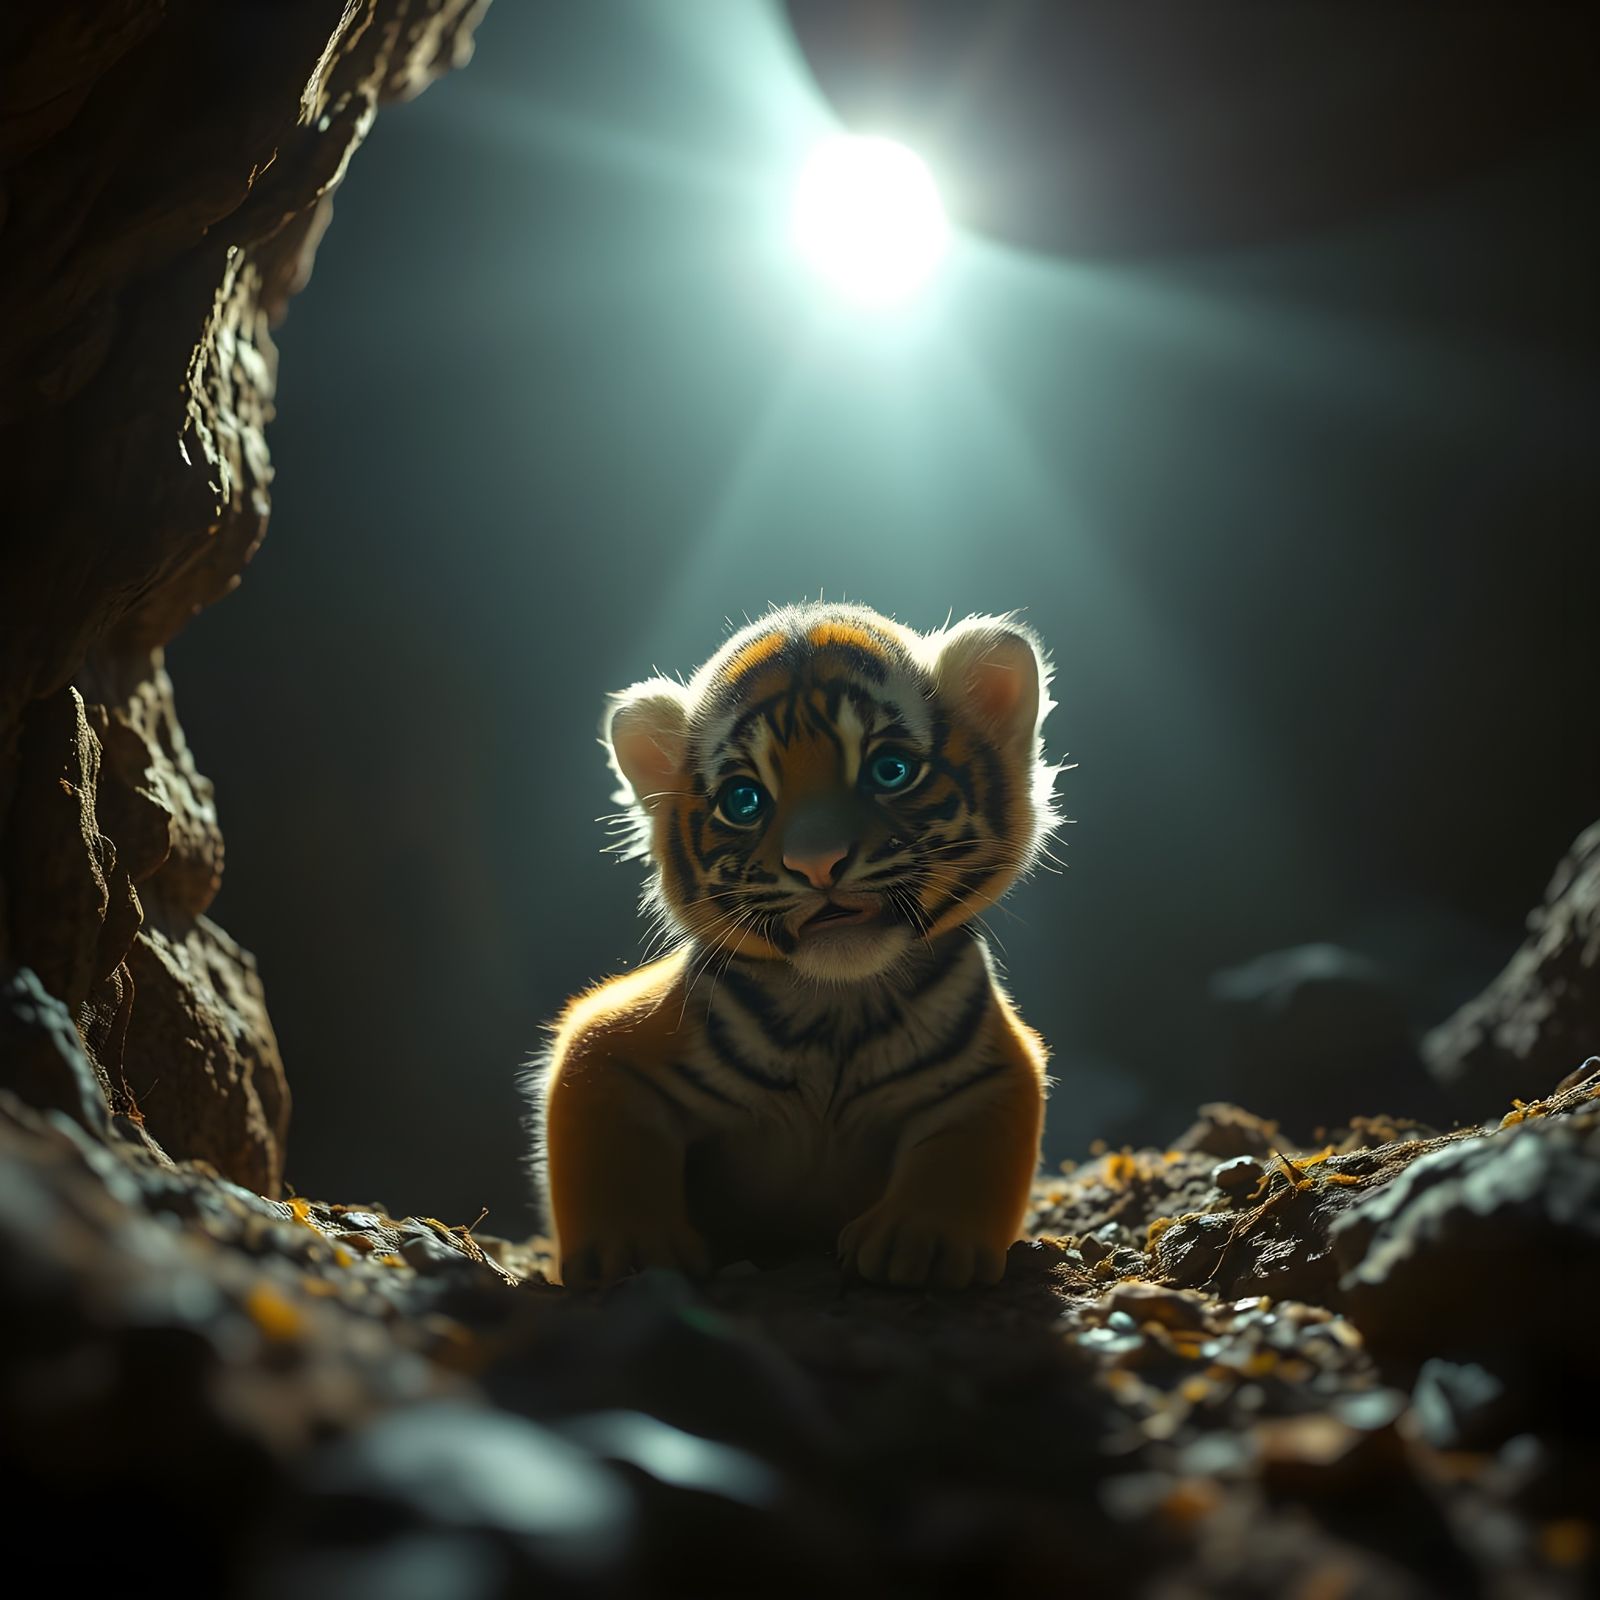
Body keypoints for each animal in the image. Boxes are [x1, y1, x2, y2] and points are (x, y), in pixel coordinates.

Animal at [529, 602, 1061, 1290]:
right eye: (744, 800)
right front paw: (631, 1249)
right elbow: (609, 1155)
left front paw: (923, 1243)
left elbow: (966, 1156)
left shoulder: (992, 1070)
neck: (839, 1008)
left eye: (890, 770)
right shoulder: (606, 1044)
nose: (817, 862)